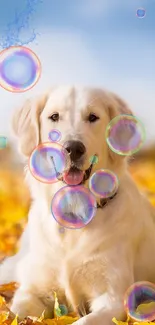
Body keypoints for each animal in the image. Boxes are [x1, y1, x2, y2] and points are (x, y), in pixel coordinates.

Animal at [0, 86, 155, 324]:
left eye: (93, 117)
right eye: (54, 117)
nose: (73, 148)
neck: (74, 210)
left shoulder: (113, 298)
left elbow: (83, 321)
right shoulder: (34, 291)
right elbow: (14, 312)